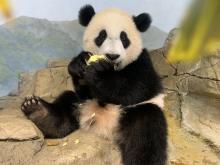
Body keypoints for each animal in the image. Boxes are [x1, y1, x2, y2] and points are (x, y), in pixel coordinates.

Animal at [21, 5, 168, 165]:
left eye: (124, 38)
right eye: (101, 36)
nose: (112, 56)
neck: (114, 69)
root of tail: (105, 128)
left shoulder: (142, 61)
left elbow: (134, 88)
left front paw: (100, 71)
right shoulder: (86, 91)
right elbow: (83, 89)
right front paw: (79, 63)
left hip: (136, 113)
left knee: (145, 132)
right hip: (83, 104)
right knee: (67, 100)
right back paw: (38, 111)